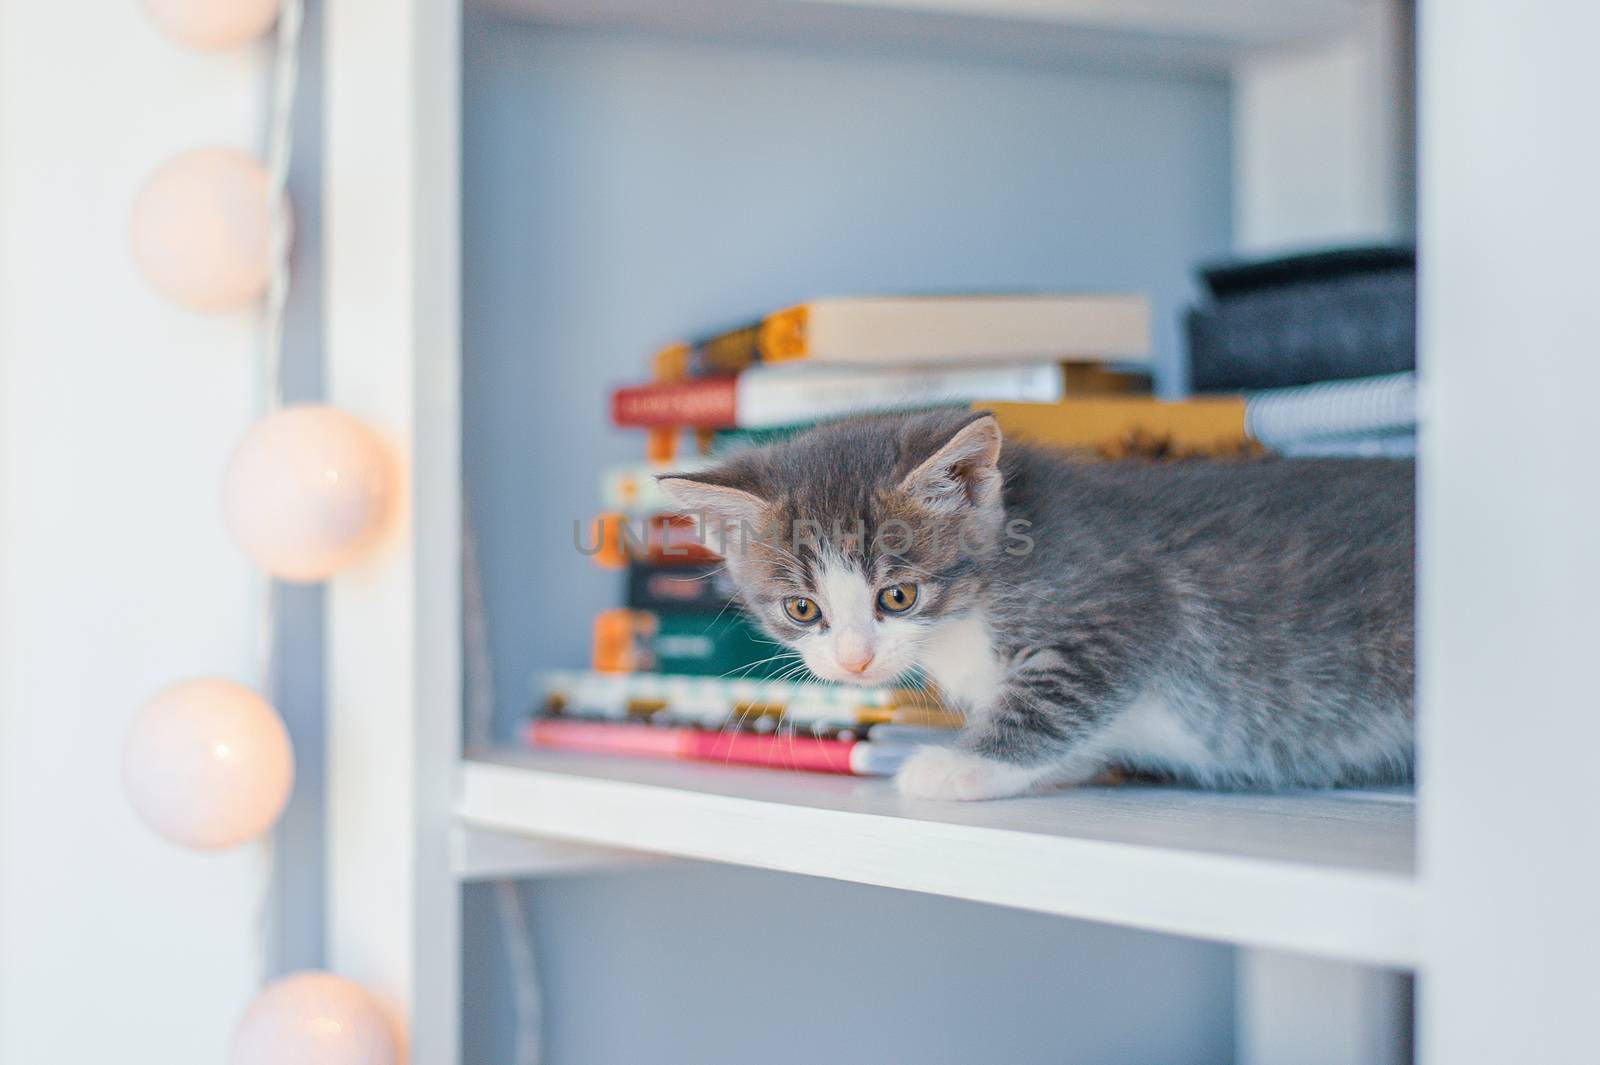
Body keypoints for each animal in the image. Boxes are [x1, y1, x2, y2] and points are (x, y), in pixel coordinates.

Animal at [659, 406, 1414, 796]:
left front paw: (961, 762)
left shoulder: (1123, 604)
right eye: (802, 610)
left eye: (898, 596)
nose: (855, 661)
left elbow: (1054, 698)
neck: (971, 607)